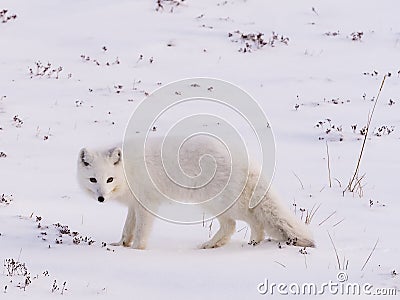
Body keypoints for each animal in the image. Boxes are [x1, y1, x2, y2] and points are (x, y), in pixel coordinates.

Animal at [77, 138, 316, 248]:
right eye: (93, 180)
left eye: (109, 179)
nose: (101, 198)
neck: (128, 172)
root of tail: (246, 162)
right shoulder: (134, 206)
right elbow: (127, 229)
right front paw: (120, 246)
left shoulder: (147, 204)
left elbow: (141, 232)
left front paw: (136, 250)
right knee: (241, 224)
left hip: (216, 203)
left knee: (242, 223)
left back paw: (232, 244)